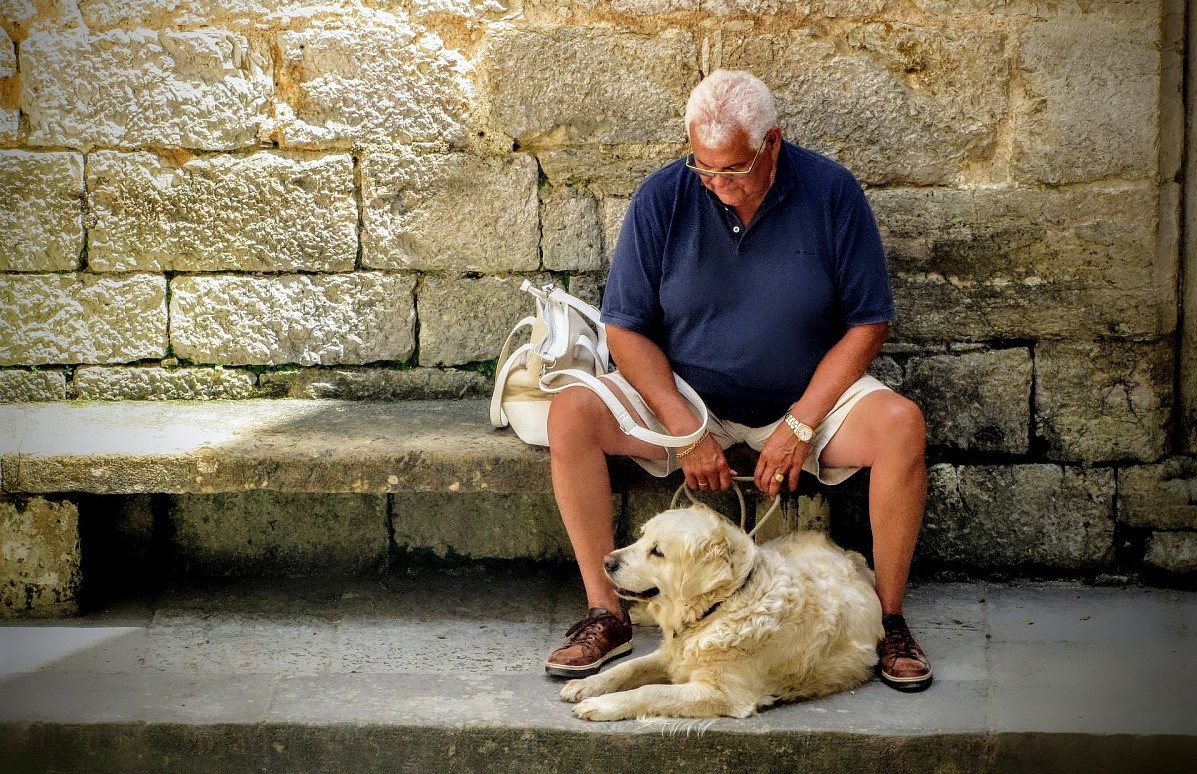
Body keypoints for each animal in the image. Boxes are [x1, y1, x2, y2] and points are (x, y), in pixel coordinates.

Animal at [557, 504, 880, 722]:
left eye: (657, 551)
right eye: (642, 537)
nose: (607, 561)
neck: (720, 608)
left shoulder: (722, 693)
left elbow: (650, 690)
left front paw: (602, 705)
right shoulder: (673, 654)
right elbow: (628, 667)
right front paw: (586, 685)